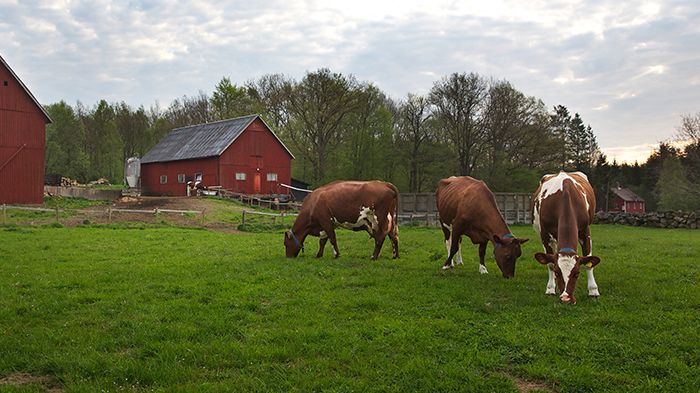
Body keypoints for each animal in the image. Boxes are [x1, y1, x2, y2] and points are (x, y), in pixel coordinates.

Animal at [532, 171, 600, 304]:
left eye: (577, 273)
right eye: (558, 273)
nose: (566, 298)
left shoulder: (585, 232)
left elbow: (588, 262)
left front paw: (593, 290)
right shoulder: (544, 235)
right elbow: (550, 263)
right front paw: (550, 288)